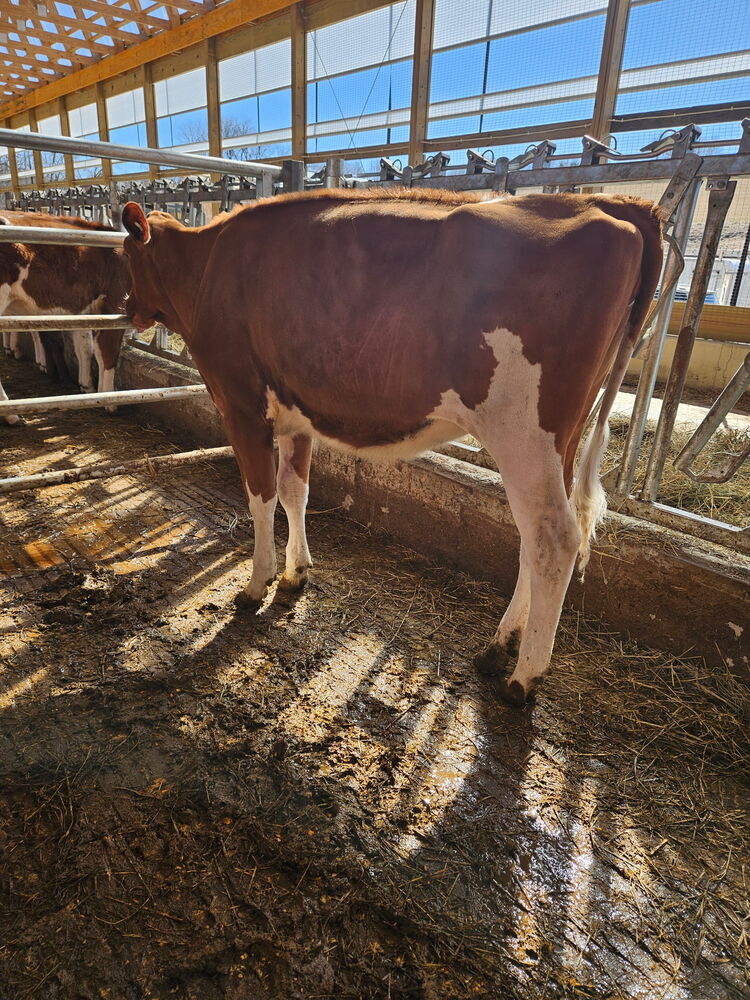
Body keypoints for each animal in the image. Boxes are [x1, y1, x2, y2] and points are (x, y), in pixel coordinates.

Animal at [0, 211, 129, 424]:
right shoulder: (115, 305)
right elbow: (108, 352)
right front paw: (110, 400)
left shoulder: (82, 310)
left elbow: (85, 349)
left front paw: (87, 387)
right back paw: (12, 415)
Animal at [120, 189, 663, 706]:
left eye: (127, 253)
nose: (126, 308)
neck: (206, 263)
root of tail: (605, 203)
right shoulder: (298, 412)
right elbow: (296, 491)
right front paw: (297, 574)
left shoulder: (240, 404)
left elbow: (262, 497)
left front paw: (257, 585)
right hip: (561, 443)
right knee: (536, 538)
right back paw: (498, 647)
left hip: (525, 432)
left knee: (554, 539)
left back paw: (523, 678)